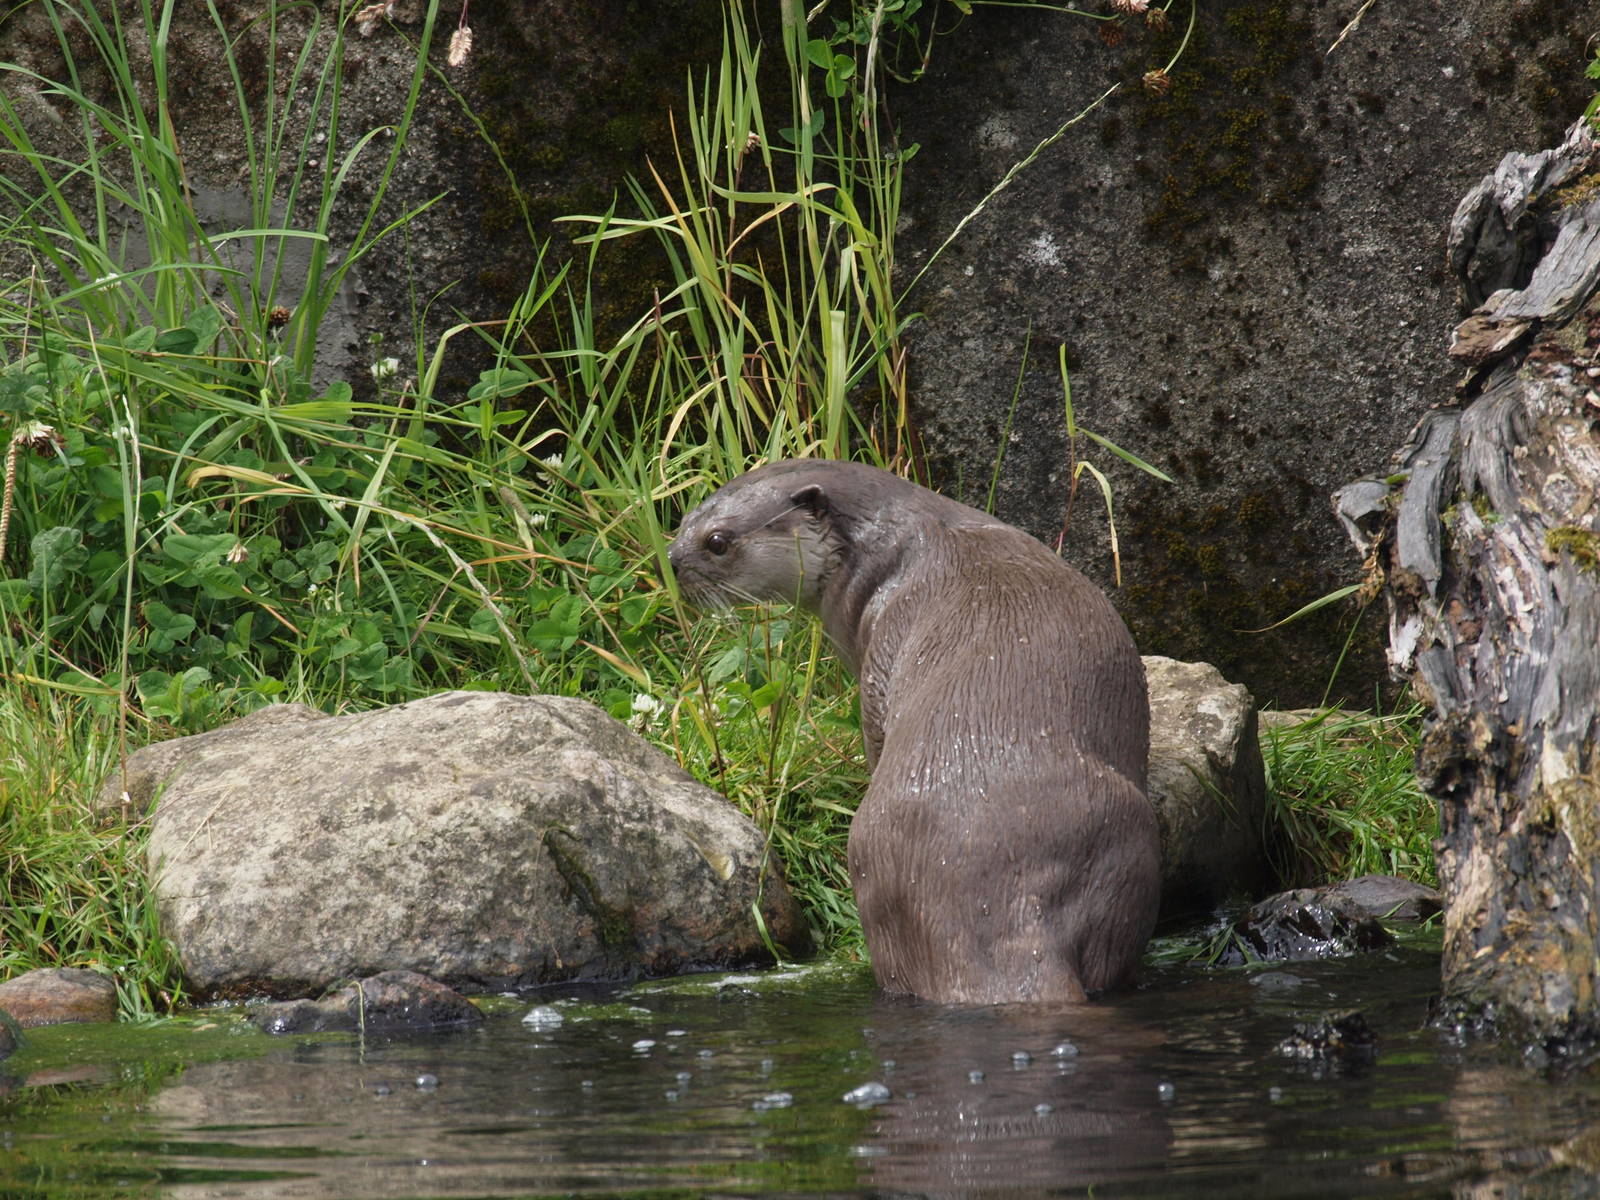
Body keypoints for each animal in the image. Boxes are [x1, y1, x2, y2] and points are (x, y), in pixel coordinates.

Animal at [668, 459, 1160, 1005]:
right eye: (684, 518)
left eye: (717, 540)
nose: (671, 561)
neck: (893, 552)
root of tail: (1006, 908)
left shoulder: (873, 665)